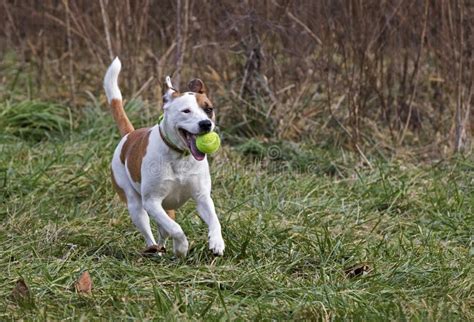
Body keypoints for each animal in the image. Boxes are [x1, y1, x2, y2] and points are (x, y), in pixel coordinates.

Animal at [105, 57, 226, 258]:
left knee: (164, 230)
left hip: (167, 208)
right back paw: (154, 249)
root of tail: (129, 135)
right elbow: (176, 229)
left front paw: (217, 242)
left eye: (209, 109)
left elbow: (214, 219)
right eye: (186, 111)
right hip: (135, 205)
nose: (206, 124)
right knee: (150, 230)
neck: (179, 156)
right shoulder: (152, 202)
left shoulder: (202, 197)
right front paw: (182, 247)